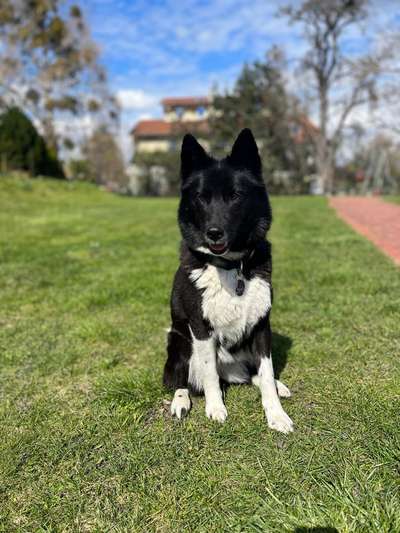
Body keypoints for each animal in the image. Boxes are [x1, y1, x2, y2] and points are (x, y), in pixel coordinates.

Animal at [162, 128, 294, 432]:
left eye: (235, 196)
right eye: (201, 197)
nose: (214, 233)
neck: (233, 267)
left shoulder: (262, 326)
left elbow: (266, 373)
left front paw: (276, 414)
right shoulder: (201, 328)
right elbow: (209, 373)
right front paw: (215, 408)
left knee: (254, 374)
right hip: (178, 343)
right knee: (181, 381)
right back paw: (181, 402)